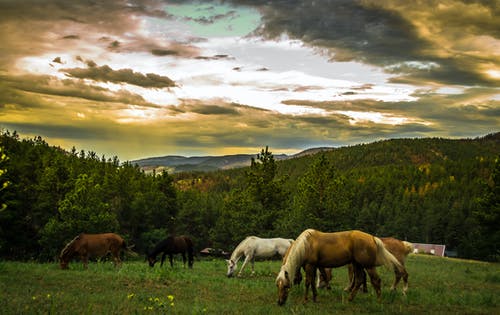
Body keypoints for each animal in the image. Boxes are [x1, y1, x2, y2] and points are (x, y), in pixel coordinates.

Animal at [274, 230, 406, 306]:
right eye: (277, 285)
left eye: (285, 286)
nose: (279, 302)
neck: (306, 244)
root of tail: (373, 238)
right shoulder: (314, 266)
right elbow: (312, 282)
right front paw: (315, 298)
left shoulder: (310, 265)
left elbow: (308, 283)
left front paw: (305, 300)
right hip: (357, 264)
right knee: (359, 280)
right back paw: (349, 299)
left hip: (367, 265)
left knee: (375, 280)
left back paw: (378, 301)